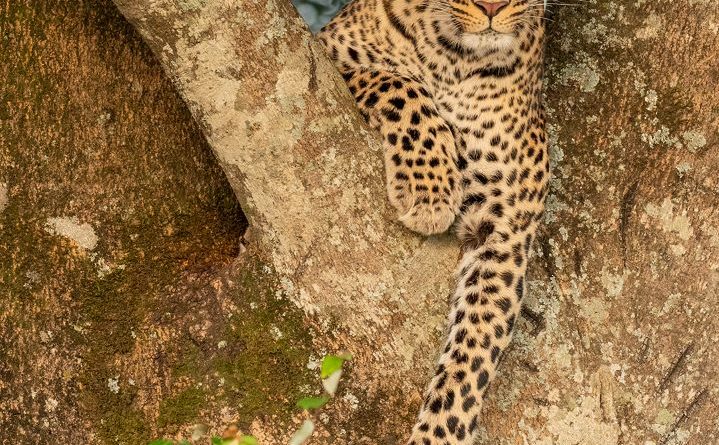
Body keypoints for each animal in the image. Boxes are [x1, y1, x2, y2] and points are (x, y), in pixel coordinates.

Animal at [317, 1, 549, 443]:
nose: (492, 7)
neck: (455, 60)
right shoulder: (324, 50)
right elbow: (399, 84)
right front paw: (431, 189)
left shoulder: (505, 232)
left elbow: (473, 354)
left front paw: (437, 435)